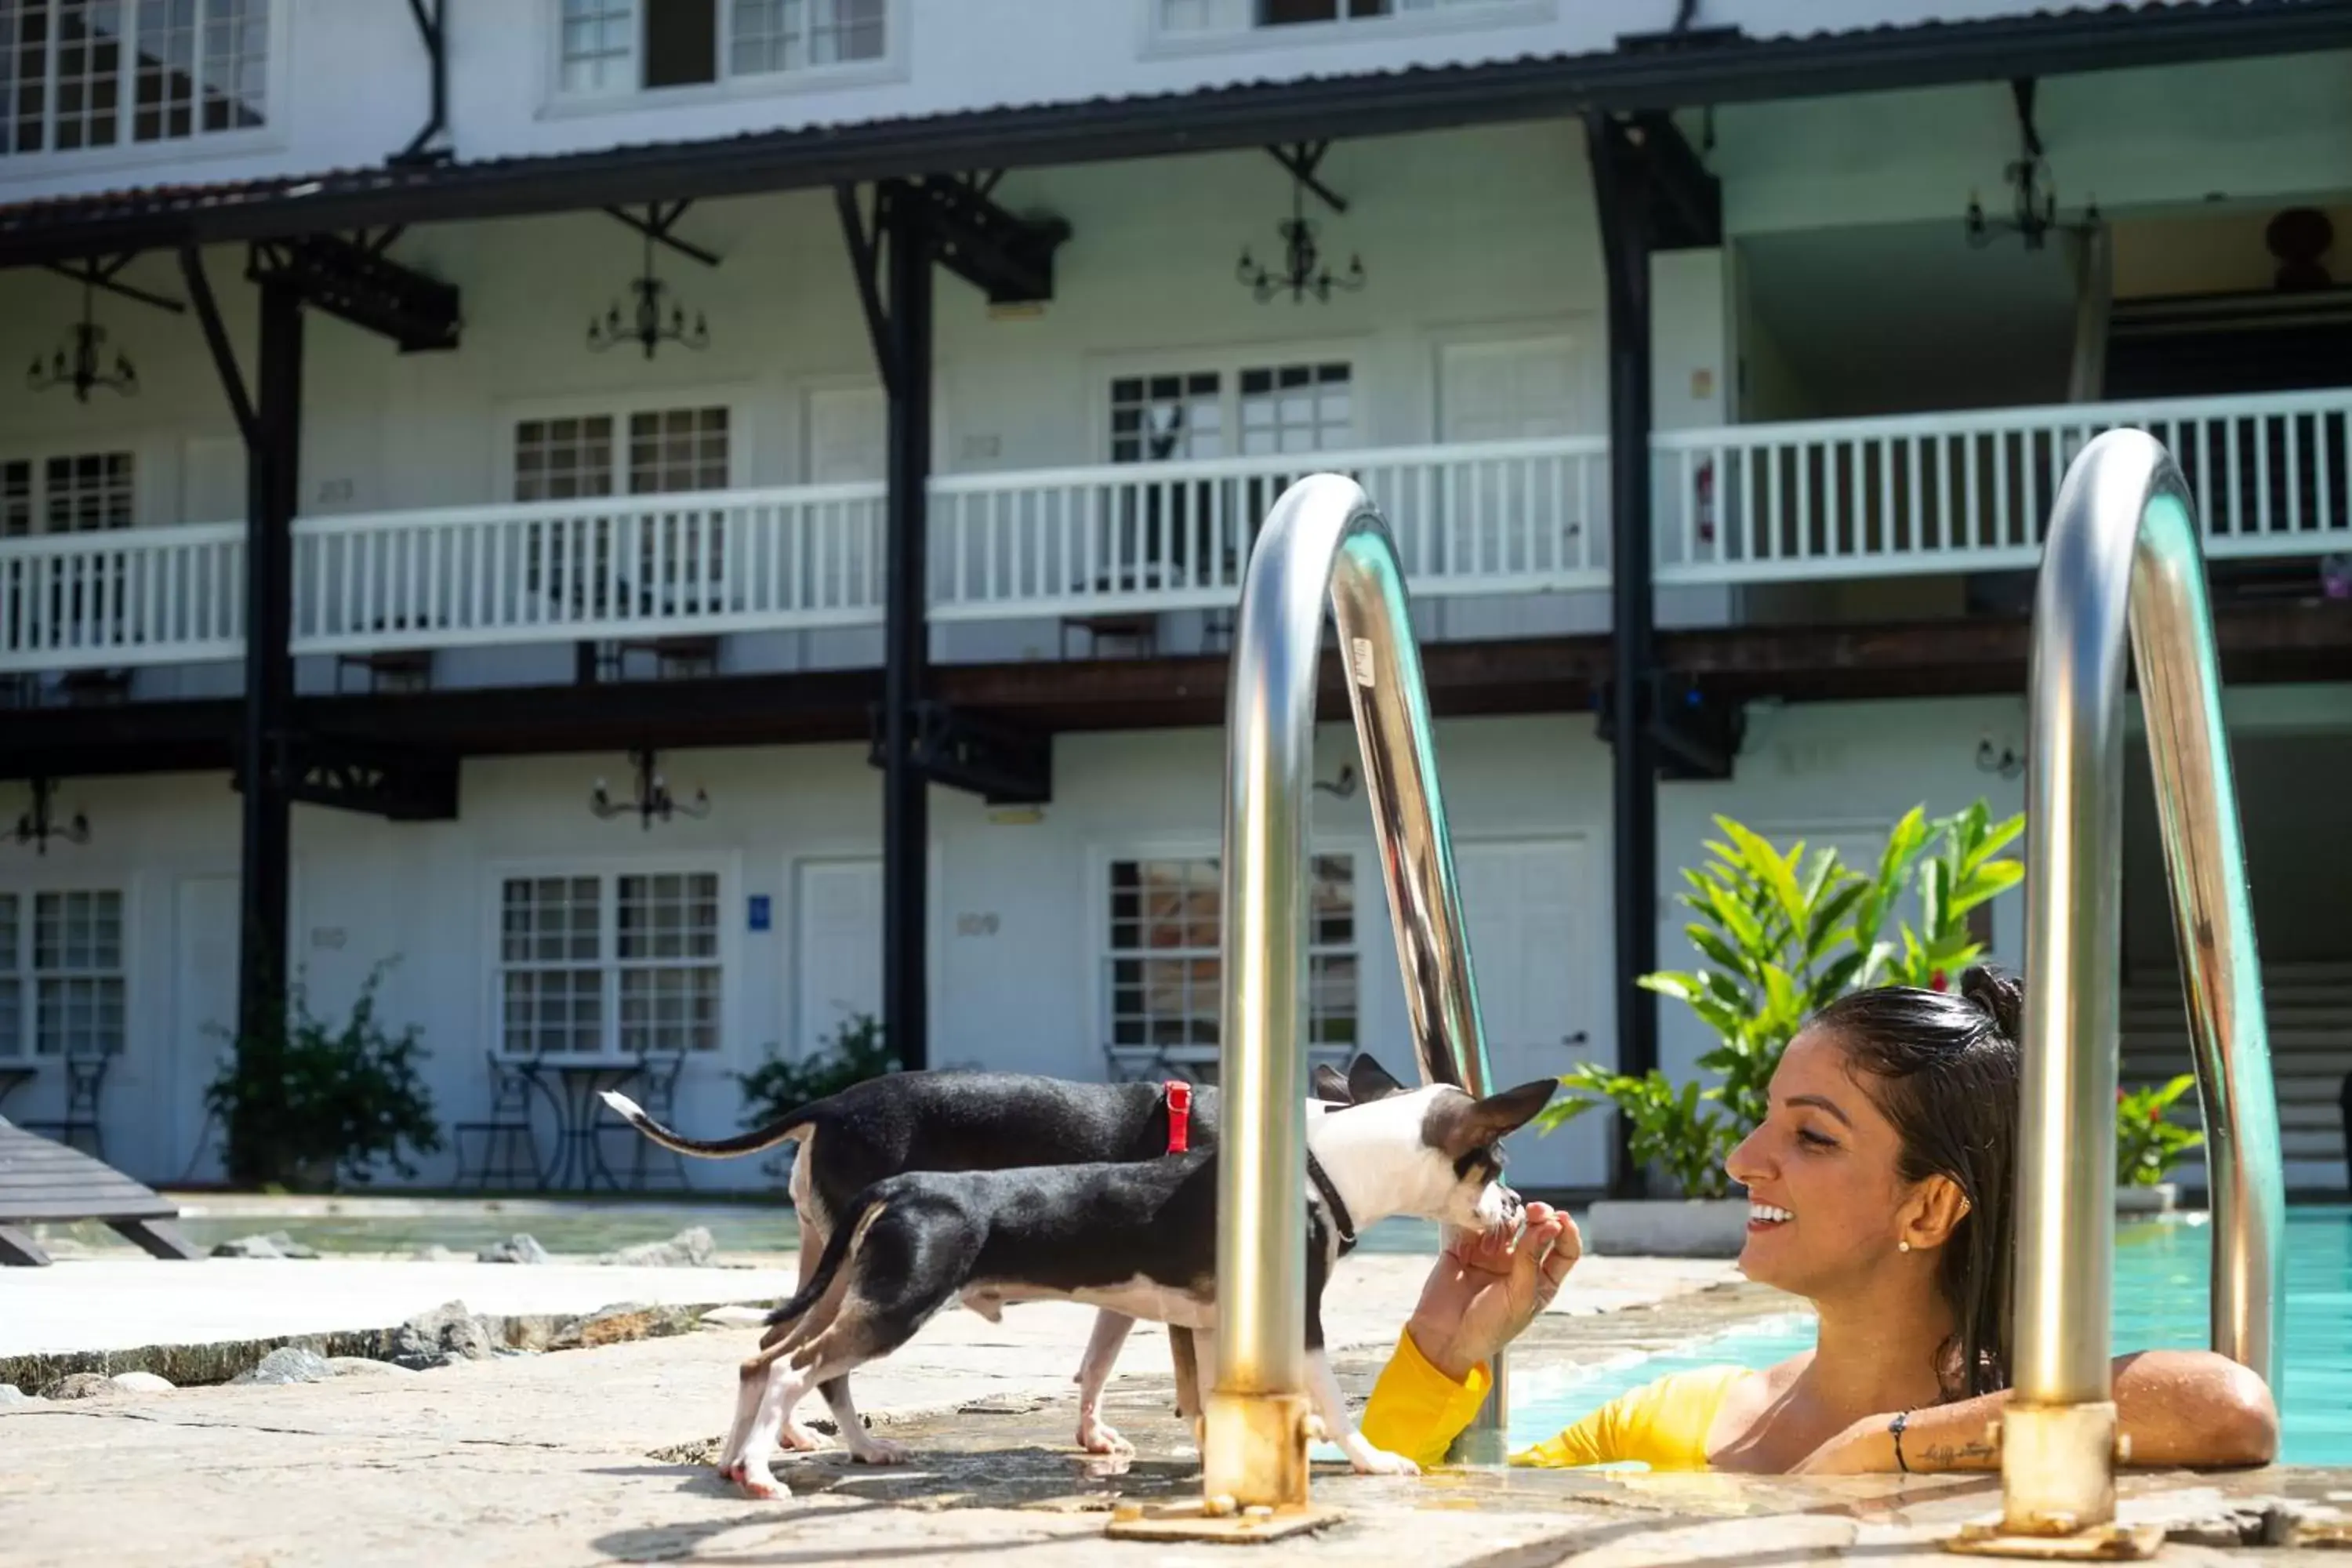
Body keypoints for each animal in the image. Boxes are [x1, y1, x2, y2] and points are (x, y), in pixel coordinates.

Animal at [602, 1067, 1308, 1457]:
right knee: (804, 1357)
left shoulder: (1127, 1286)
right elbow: (1188, 1384)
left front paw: (1095, 1439)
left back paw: (791, 1438)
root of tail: (830, 1105)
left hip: (830, 1264)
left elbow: (1097, 1365)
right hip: (871, 1271)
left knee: (776, 1342)